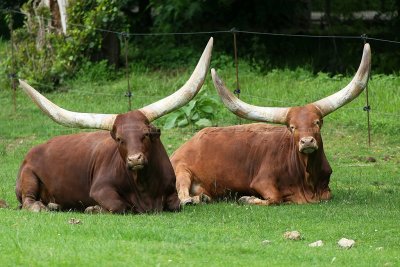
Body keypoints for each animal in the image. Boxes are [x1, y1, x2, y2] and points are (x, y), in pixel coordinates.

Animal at [170, 43, 370, 206]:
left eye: (317, 122)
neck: (306, 179)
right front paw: (247, 199)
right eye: (292, 127)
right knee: (182, 194)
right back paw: (191, 200)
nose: (307, 142)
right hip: (181, 171)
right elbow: (275, 198)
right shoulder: (262, 181)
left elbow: (327, 195)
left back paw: (202, 197)